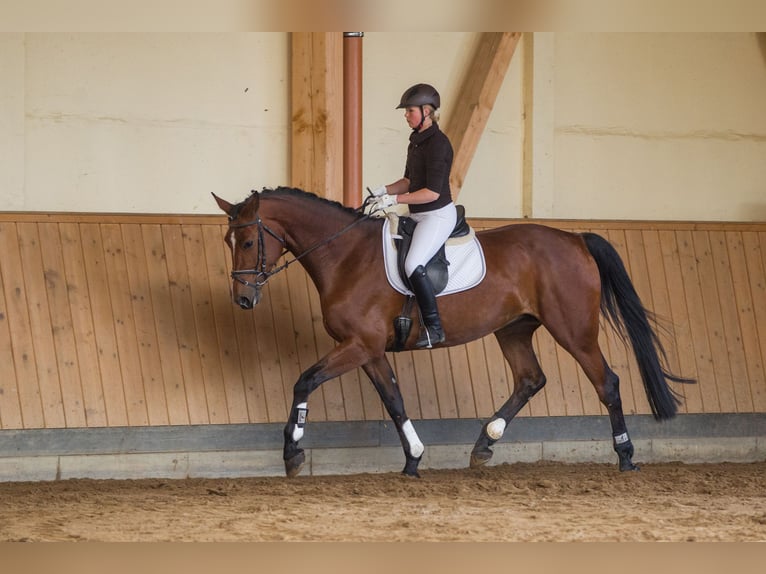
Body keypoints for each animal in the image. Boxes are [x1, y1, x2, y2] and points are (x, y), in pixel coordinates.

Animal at [213, 187, 692, 480]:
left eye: (249, 242)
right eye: (227, 242)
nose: (243, 300)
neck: (345, 256)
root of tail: (574, 239)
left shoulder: (357, 346)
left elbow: (304, 380)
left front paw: (292, 453)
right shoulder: (369, 351)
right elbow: (394, 400)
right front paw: (413, 459)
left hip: (573, 330)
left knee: (606, 382)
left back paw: (625, 457)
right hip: (513, 330)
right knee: (530, 379)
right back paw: (484, 445)